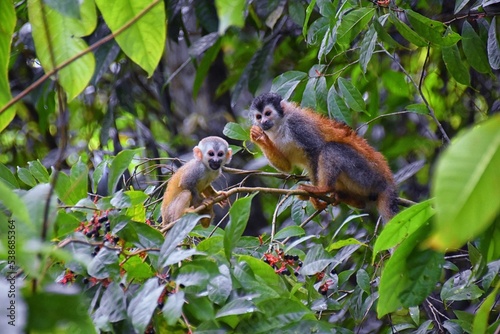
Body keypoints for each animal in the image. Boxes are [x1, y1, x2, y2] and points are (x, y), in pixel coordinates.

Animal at [250, 92, 398, 222]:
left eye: (268, 113)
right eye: (258, 116)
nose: (264, 121)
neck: (280, 125)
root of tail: (386, 181)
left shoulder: (297, 125)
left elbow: (316, 150)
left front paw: (316, 195)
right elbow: (286, 166)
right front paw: (260, 138)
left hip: (365, 175)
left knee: (330, 149)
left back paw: (324, 188)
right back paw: (351, 200)